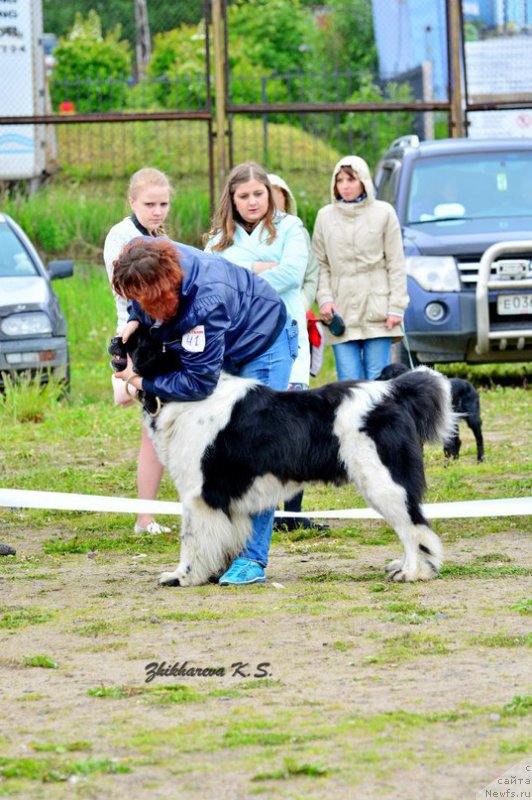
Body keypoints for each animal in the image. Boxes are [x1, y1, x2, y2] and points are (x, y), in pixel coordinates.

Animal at [109, 332, 458, 588]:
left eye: (136, 341)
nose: (114, 339)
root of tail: (392, 391)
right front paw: (217, 571)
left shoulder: (199, 495)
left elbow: (192, 540)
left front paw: (183, 576)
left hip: (383, 482)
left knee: (414, 528)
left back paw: (413, 571)